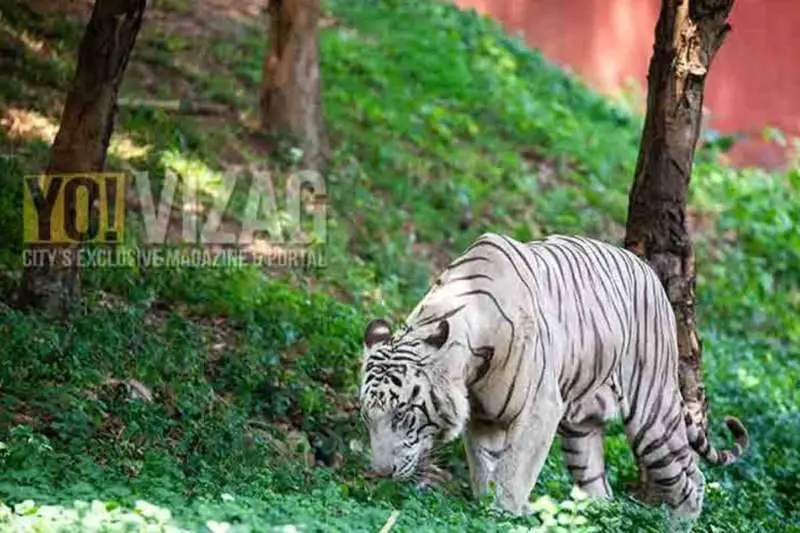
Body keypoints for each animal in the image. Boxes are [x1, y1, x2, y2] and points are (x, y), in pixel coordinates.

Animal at [359, 232, 748, 521]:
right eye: (367, 417)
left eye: (403, 415)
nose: (380, 473)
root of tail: (648, 270)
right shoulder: (483, 419)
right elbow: (485, 470)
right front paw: (485, 509)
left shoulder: (539, 409)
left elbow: (512, 471)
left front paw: (504, 515)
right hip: (580, 431)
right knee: (599, 489)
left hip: (653, 416)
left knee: (691, 479)